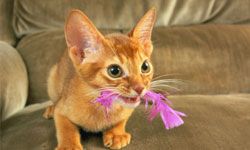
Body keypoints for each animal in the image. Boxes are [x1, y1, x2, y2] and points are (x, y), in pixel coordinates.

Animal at [43, 7, 156, 149]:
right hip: (52, 80)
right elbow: (65, 128)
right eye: (114, 71)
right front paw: (69, 145)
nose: (140, 88)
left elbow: (121, 120)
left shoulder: (128, 110)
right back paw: (51, 108)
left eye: (145, 66)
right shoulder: (62, 110)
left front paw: (116, 134)